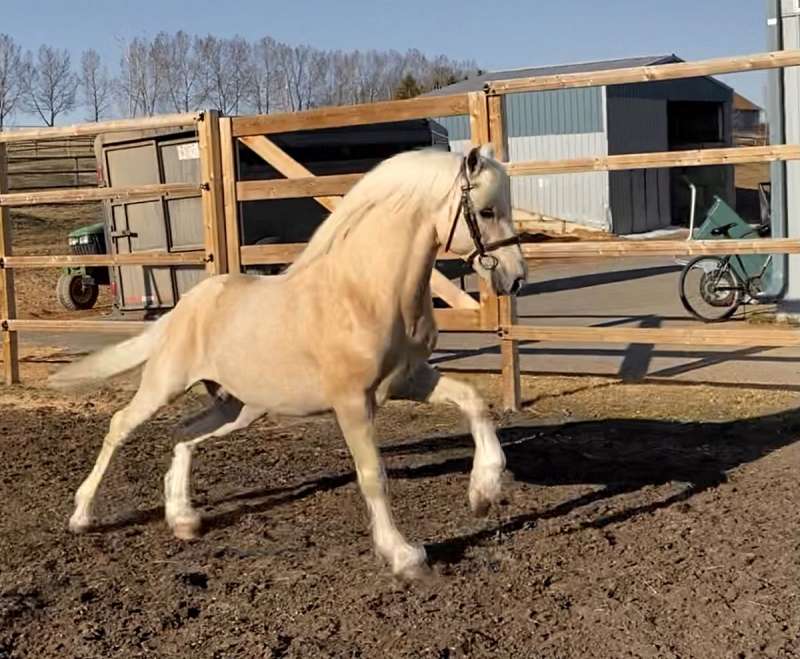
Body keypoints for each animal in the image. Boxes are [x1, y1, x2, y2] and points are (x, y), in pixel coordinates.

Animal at [49, 144, 527, 580]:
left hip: (239, 407)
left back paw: (183, 520)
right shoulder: (352, 402)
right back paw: (81, 517)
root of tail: (184, 306)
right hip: (164, 384)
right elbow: (372, 473)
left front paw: (483, 493)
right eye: (485, 211)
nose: (515, 278)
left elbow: (473, 402)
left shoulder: (410, 379)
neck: (366, 294)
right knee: (120, 426)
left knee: (183, 433)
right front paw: (404, 557)